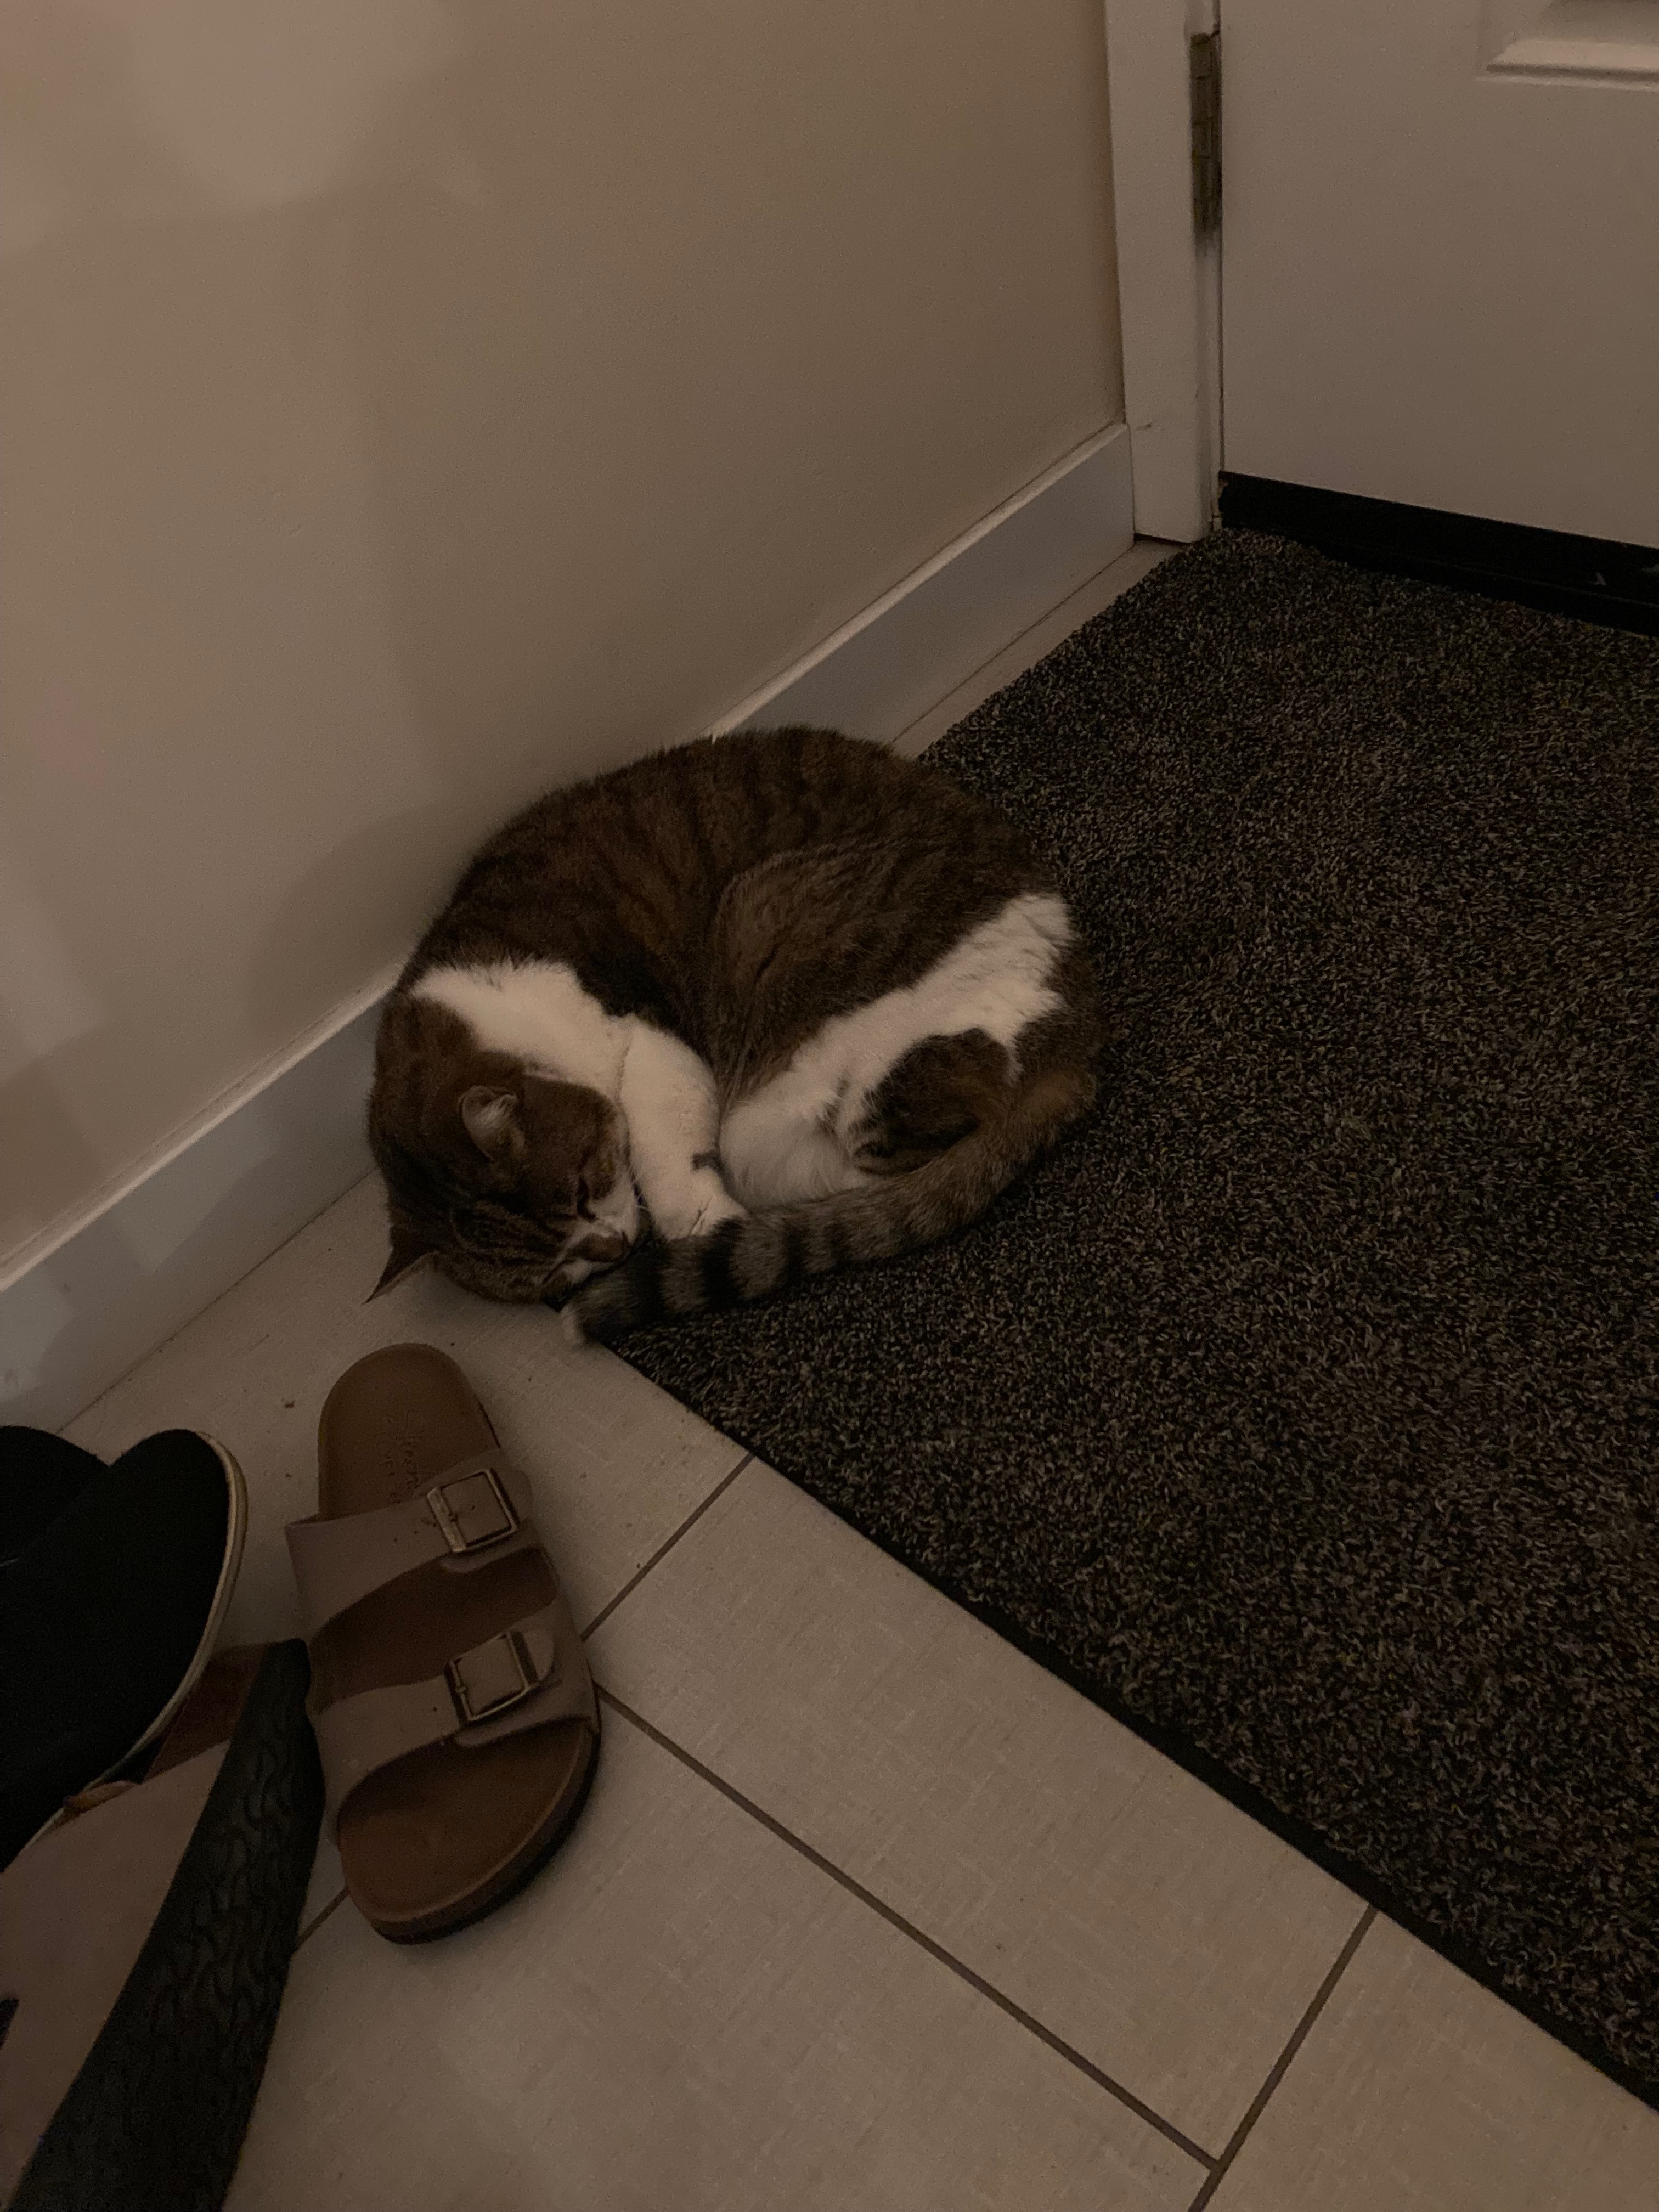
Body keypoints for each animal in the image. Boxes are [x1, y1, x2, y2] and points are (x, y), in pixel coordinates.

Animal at [368, 725, 1101, 1340]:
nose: (617, 1250)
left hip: (767, 930)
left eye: (580, 1189)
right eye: (551, 1274)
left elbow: (664, 1146)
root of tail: (1079, 1023)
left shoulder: (651, 1032)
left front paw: (702, 1224)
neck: (495, 1016)